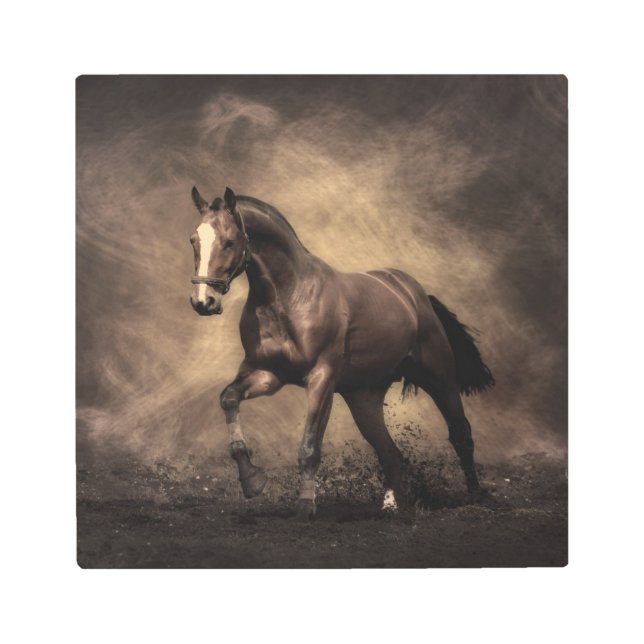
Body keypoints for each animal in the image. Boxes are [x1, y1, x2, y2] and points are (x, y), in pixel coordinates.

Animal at [188, 186, 495, 519]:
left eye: (229, 241)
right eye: (194, 240)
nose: (203, 301)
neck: (288, 298)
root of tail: (414, 294)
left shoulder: (321, 379)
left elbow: (310, 446)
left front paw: (305, 506)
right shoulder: (268, 374)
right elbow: (229, 399)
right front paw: (252, 481)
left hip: (439, 378)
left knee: (460, 434)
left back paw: (476, 495)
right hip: (364, 398)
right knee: (390, 453)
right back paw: (390, 507)